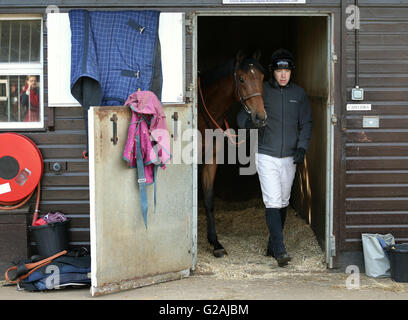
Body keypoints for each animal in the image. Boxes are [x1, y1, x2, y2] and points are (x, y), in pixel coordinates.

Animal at [198, 49, 268, 258]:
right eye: (242, 79)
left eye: (262, 77)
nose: (260, 117)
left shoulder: (210, 160)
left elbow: (208, 199)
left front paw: (215, 242)